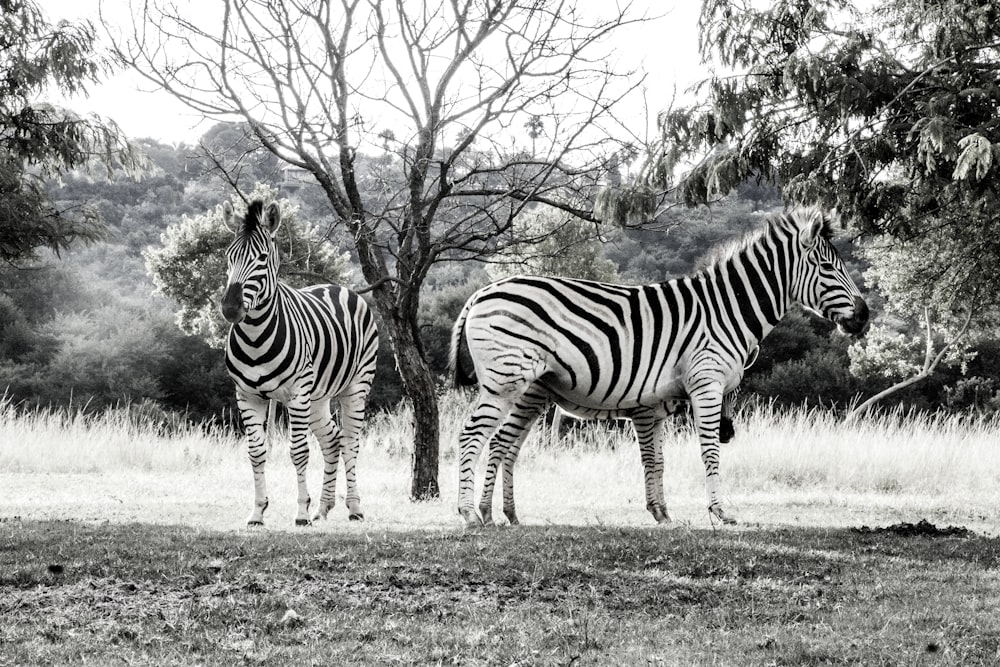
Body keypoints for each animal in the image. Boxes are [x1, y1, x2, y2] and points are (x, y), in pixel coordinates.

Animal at [220, 198, 378, 528]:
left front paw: (301, 513)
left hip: (355, 387)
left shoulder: (295, 394)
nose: (230, 308)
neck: (255, 336)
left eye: (262, 257)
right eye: (229, 255)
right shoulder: (247, 395)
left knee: (350, 442)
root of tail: (337, 287)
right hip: (317, 397)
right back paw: (323, 508)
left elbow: (299, 452)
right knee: (332, 441)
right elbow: (256, 452)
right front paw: (257, 512)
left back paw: (354, 508)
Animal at [452, 204, 868, 528]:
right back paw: (470, 513)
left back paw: (500, 513)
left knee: (503, 442)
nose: (864, 316)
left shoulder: (652, 405)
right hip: (506, 379)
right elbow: (708, 451)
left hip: (529, 390)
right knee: (473, 434)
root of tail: (481, 293)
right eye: (828, 267)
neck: (726, 308)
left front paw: (662, 513)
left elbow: (658, 460)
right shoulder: (706, 383)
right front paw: (720, 511)